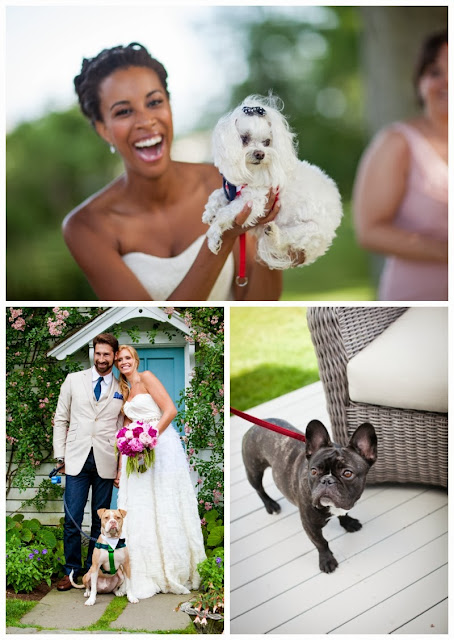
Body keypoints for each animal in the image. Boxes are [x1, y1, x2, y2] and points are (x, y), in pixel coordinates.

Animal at [203, 94, 344, 268]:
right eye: (244, 138)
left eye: (267, 142)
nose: (260, 154)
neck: (251, 173)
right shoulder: (234, 190)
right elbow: (217, 195)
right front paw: (210, 211)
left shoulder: (253, 201)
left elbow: (224, 214)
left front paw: (213, 236)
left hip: (309, 230)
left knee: (284, 239)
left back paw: (273, 234)